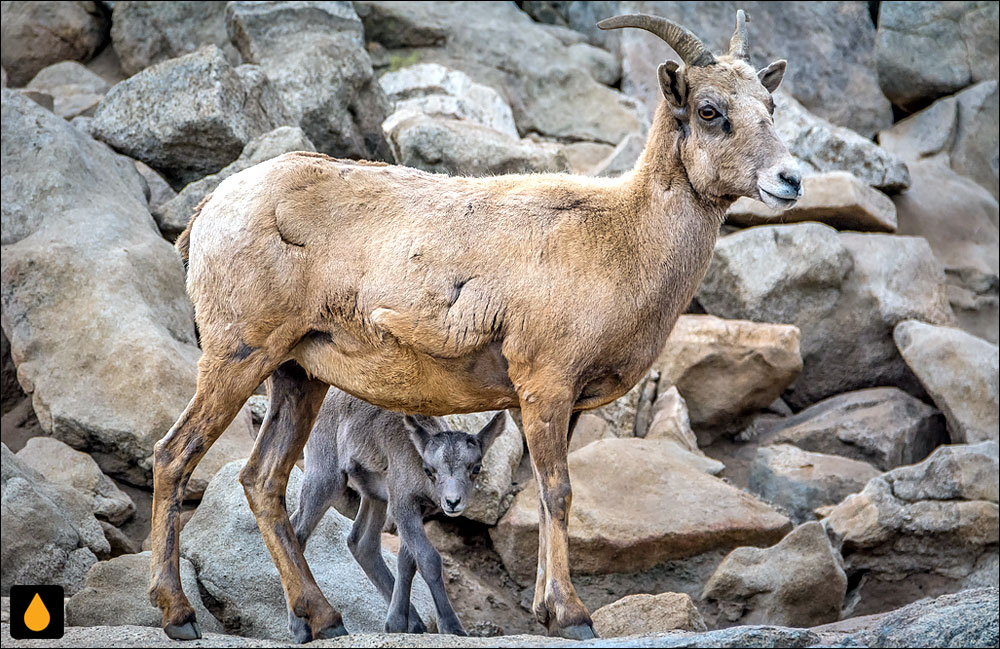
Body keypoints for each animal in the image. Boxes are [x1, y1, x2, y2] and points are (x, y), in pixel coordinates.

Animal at [290, 388, 508, 636]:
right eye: (429, 470)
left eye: (476, 468)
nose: (452, 502)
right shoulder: (403, 505)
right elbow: (428, 559)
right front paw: (452, 627)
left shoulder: (413, 509)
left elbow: (407, 562)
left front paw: (397, 624)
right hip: (327, 477)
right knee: (299, 531)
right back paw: (301, 629)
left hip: (374, 495)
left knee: (361, 543)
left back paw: (414, 621)